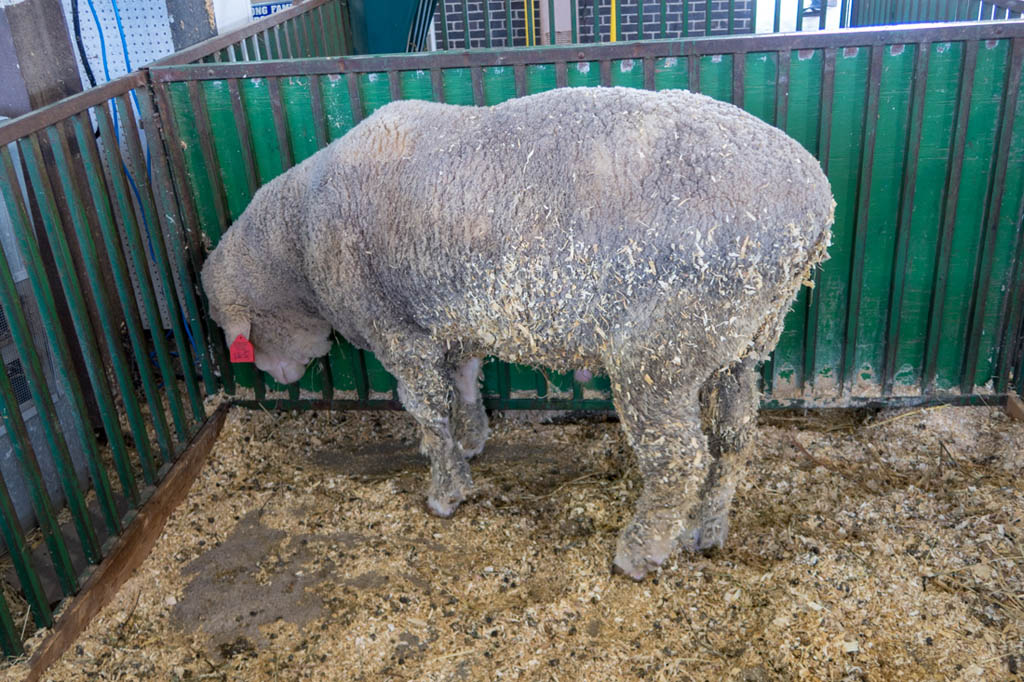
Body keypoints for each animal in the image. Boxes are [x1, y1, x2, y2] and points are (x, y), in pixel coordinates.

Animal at [199, 83, 831, 573]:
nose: (280, 379)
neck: (299, 239)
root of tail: (816, 206)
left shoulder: (396, 330)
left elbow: (426, 409)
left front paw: (445, 490)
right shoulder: (452, 322)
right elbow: (463, 385)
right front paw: (472, 439)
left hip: (664, 347)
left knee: (678, 458)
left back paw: (640, 552)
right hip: (742, 337)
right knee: (734, 436)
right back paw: (708, 528)